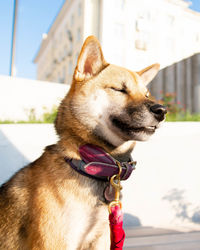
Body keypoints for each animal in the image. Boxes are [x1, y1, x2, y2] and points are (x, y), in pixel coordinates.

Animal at [0, 36, 166, 249]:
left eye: (146, 94)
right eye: (119, 89)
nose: (162, 110)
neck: (87, 162)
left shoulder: (101, 238)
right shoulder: (55, 242)